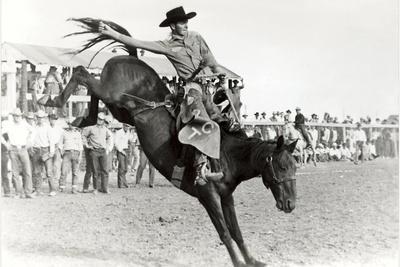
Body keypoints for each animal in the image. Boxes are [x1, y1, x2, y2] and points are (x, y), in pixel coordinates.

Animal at [38, 18, 300, 267]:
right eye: (282, 166)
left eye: (295, 166)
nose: (290, 204)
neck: (226, 154)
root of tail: (131, 57)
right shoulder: (208, 195)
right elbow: (225, 233)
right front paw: (238, 262)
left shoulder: (226, 196)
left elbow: (236, 232)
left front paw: (252, 260)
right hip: (111, 93)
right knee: (82, 72)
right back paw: (52, 100)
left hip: (119, 109)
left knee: (91, 89)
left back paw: (83, 118)